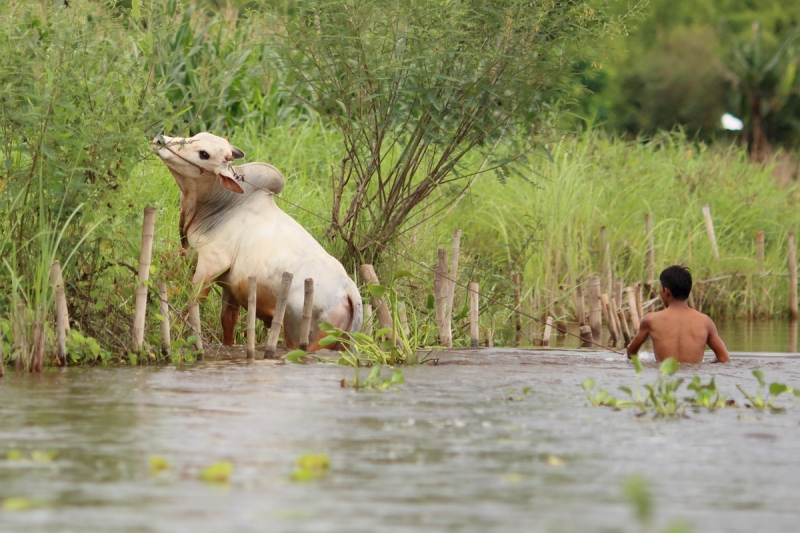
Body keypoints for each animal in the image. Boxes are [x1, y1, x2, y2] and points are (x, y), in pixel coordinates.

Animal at [152, 132, 362, 350]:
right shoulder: (231, 286)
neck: (222, 205)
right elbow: (228, 320)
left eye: (204, 154)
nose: (160, 139)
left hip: (301, 340)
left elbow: (189, 307)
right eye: (196, 135)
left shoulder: (209, 266)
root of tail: (349, 292)